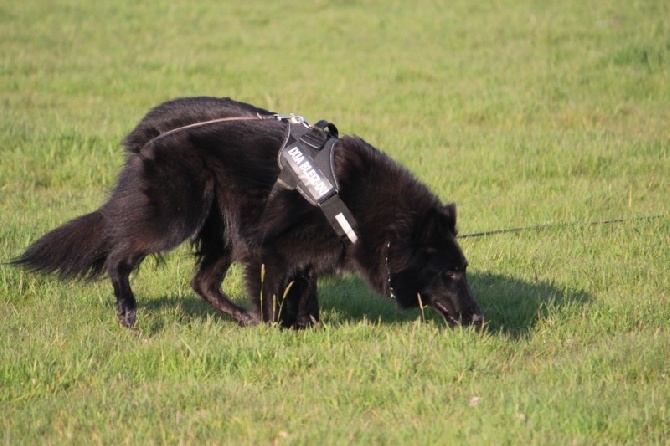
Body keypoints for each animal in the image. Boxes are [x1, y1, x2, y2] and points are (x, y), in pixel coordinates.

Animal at [10, 96, 484, 328]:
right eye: (450, 272)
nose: (480, 318)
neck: (353, 201)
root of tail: (150, 140)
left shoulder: (299, 255)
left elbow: (304, 296)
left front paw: (306, 329)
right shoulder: (268, 253)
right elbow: (276, 300)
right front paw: (277, 333)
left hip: (224, 230)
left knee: (202, 282)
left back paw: (241, 318)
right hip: (178, 214)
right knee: (119, 252)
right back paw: (128, 307)